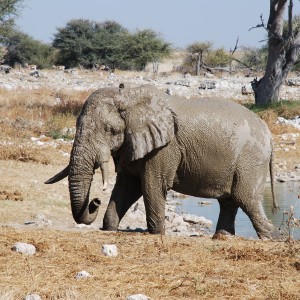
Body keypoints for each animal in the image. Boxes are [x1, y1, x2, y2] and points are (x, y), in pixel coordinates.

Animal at [45, 84, 282, 239]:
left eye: (109, 130)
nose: (95, 201)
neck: (129, 98)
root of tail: (269, 135)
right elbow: (126, 187)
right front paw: (109, 228)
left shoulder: (164, 149)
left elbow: (152, 185)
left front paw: (156, 234)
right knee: (230, 201)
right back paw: (222, 238)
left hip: (250, 159)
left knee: (246, 199)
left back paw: (270, 238)